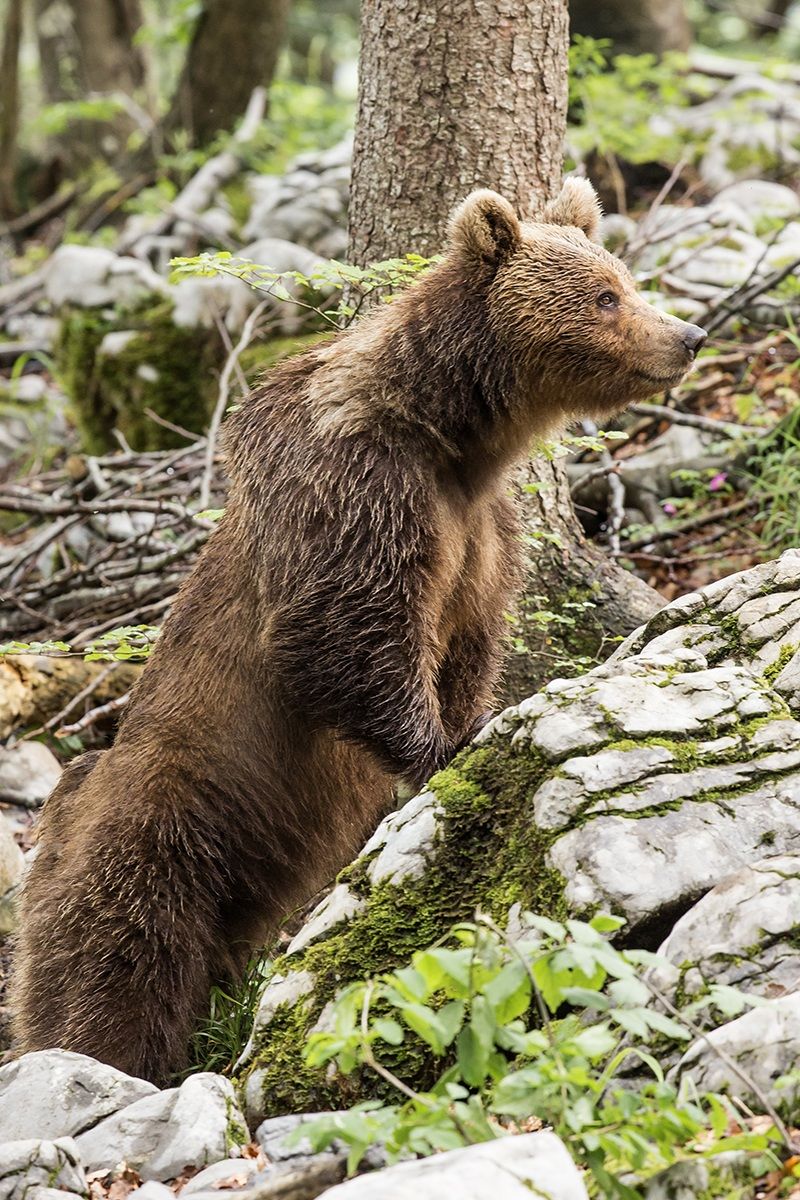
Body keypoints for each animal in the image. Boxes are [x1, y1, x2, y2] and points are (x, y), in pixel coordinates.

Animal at [10, 180, 706, 1084]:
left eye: (621, 276)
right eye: (605, 295)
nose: (687, 336)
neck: (453, 434)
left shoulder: (483, 532)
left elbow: (471, 637)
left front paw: (470, 714)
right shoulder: (359, 491)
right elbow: (342, 633)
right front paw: (441, 747)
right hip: (161, 811)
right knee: (117, 948)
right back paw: (95, 1057)